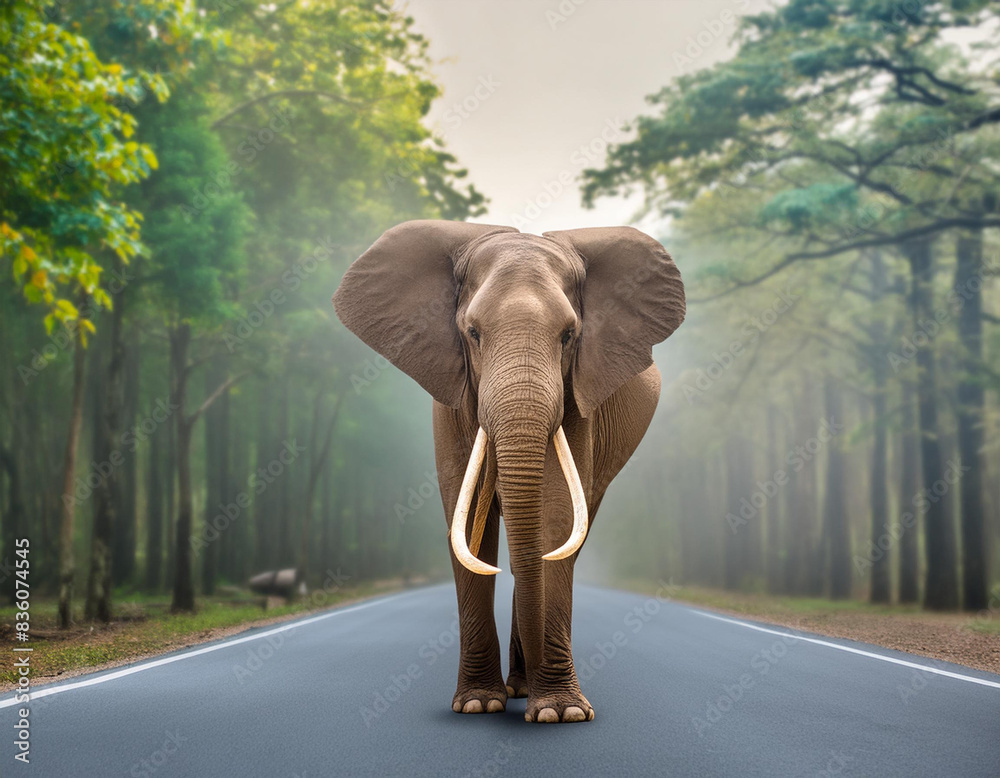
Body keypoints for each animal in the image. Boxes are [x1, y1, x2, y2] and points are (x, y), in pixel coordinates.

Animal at [333, 220, 685, 723]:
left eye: (569, 335)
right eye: (473, 333)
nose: (538, 693)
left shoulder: (580, 395)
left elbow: (555, 514)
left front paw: (560, 713)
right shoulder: (453, 394)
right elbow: (464, 521)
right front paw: (478, 704)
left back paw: (525, 688)